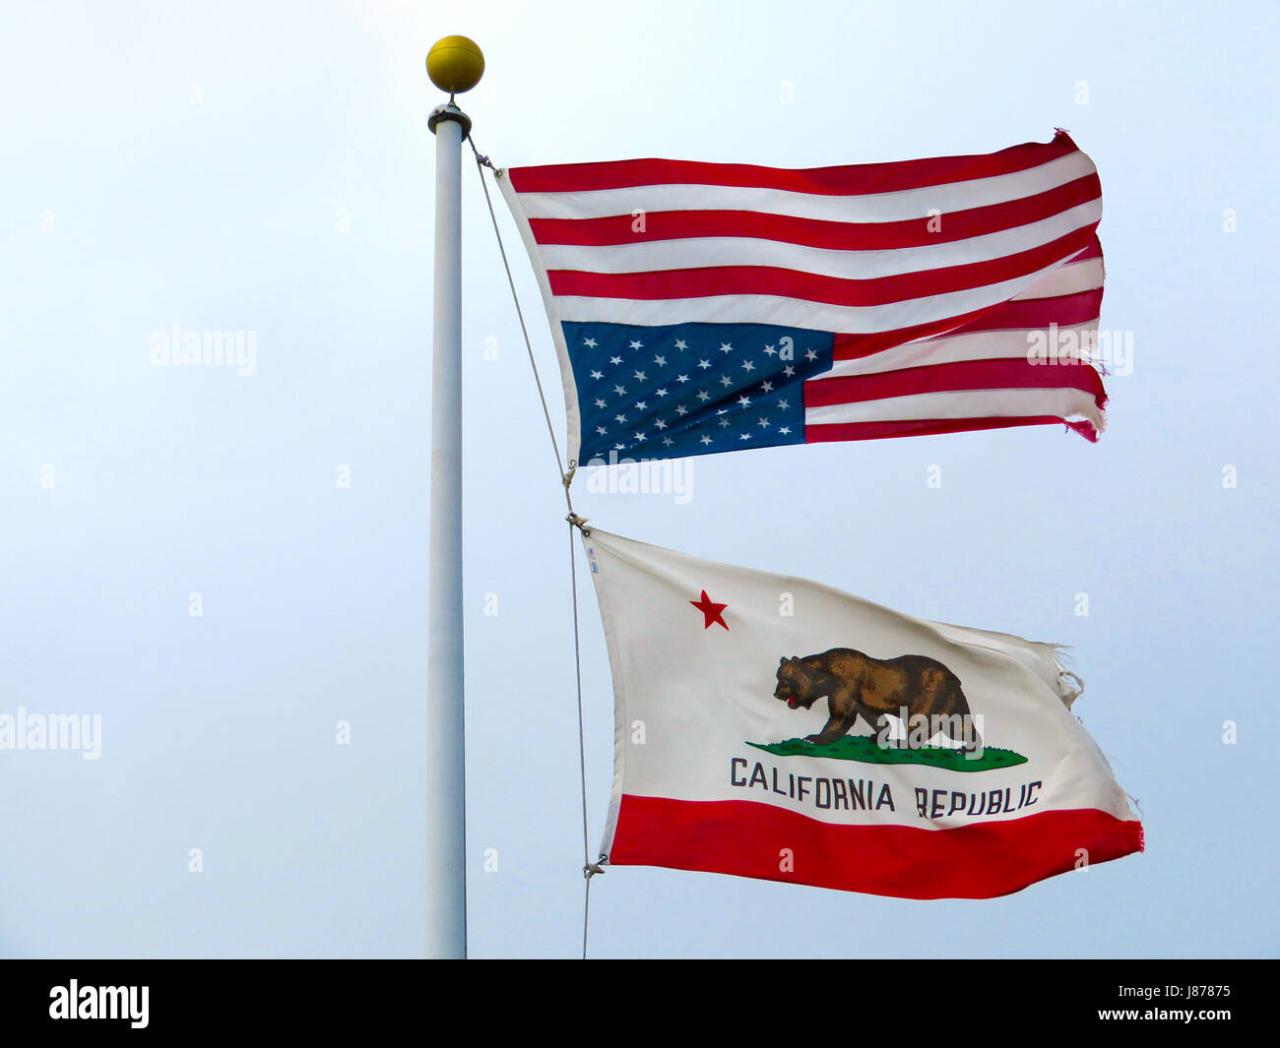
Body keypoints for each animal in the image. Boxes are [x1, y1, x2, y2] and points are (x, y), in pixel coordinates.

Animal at [768, 647, 977, 752]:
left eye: (785, 679)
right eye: (778, 676)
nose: (776, 693)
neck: (826, 675)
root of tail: (954, 678)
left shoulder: (845, 686)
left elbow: (840, 717)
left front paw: (814, 737)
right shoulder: (862, 699)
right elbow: (874, 717)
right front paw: (878, 735)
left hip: (930, 693)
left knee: (920, 721)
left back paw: (904, 742)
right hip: (951, 700)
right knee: (960, 725)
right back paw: (968, 747)